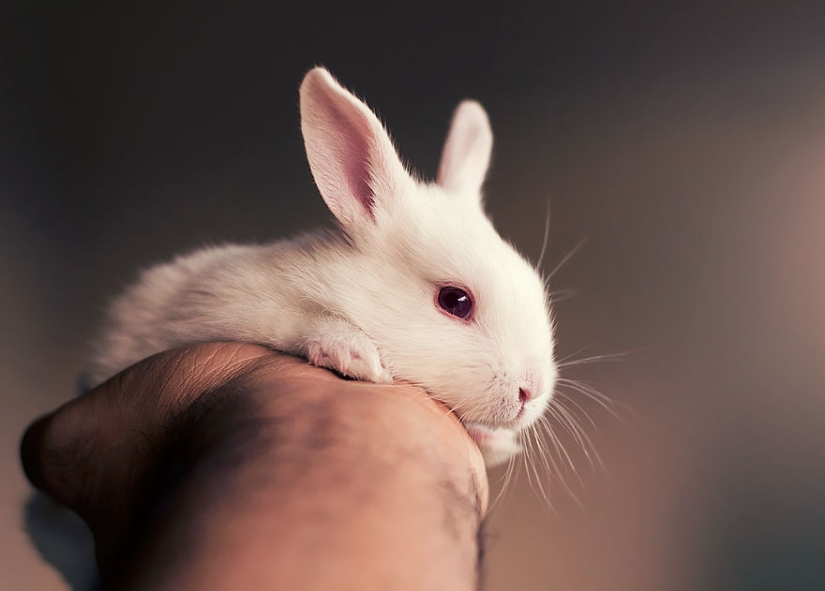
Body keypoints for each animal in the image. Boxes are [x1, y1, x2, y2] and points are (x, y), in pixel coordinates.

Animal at [87, 67, 558, 467]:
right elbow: (297, 320)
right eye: (455, 300)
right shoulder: (222, 304)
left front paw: (495, 441)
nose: (530, 391)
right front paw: (356, 353)